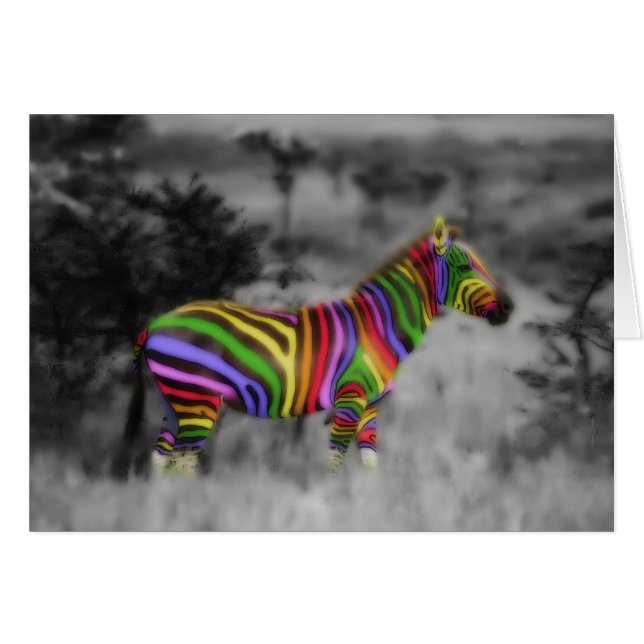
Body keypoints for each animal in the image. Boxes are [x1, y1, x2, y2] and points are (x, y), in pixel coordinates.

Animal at [117, 216, 514, 477]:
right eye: (465, 267)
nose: (510, 308)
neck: (380, 327)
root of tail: (155, 324)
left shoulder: (371, 407)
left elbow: (370, 464)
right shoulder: (350, 400)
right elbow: (334, 463)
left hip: (173, 399)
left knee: (161, 460)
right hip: (196, 398)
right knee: (183, 464)